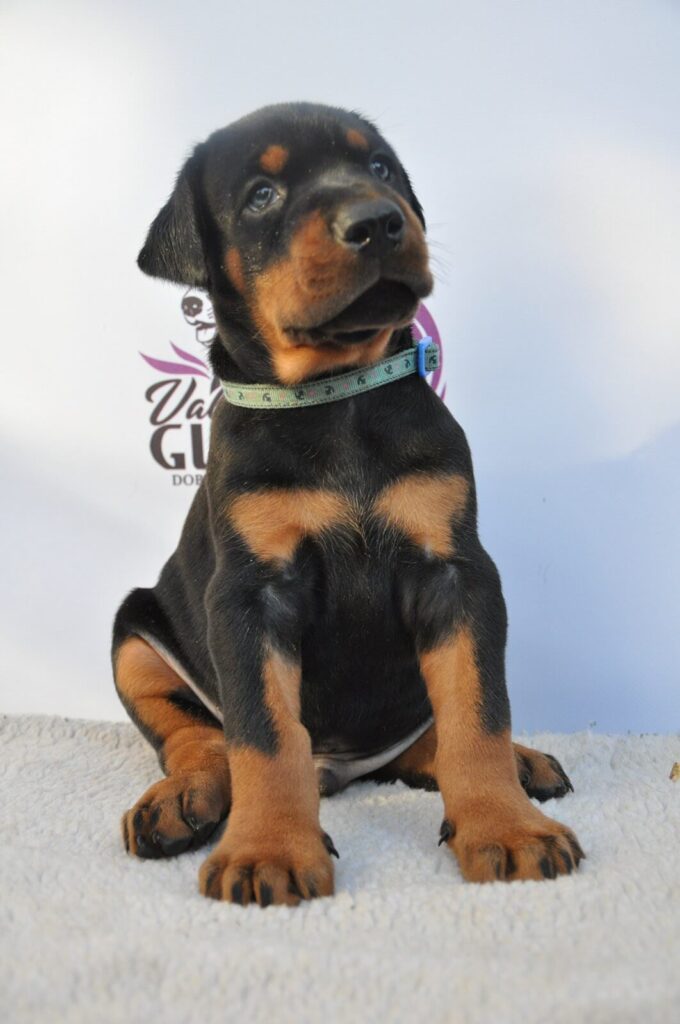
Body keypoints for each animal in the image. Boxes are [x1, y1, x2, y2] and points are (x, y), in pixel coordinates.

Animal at [112, 101, 585, 905]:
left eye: (380, 167)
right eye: (262, 195)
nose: (378, 222)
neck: (337, 397)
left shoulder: (457, 573)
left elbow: (477, 714)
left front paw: (506, 828)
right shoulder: (249, 593)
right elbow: (264, 736)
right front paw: (267, 850)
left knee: (430, 738)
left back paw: (520, 767)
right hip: (134, 632)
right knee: (197, 738)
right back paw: (183, 800)